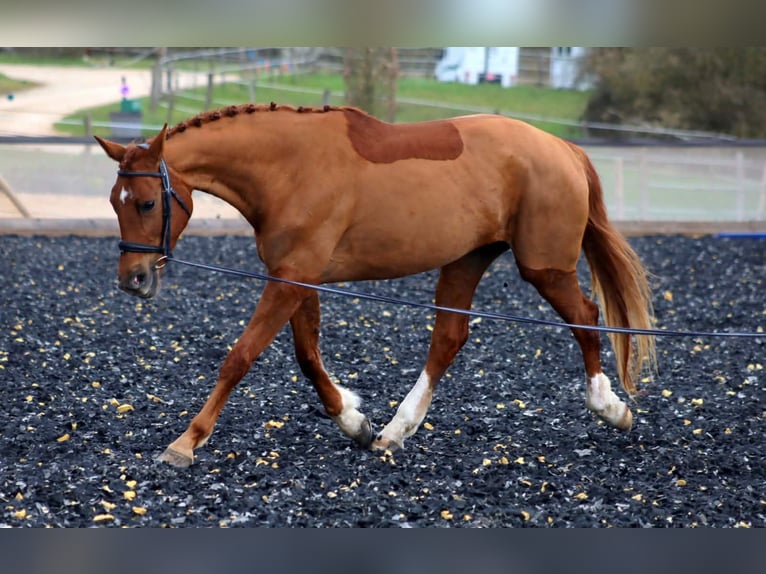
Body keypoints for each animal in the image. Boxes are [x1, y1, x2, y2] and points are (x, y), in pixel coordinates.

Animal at [95, 103, 656, 468]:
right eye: (113, 202)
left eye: (147, 202)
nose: (133, 280)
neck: (289, 167)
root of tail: (563, 148)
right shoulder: (299, 277)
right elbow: (307, 357)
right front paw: (354, 421)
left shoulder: (290, 278)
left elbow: (241, 357)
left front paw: (186, 443)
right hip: (466, 260)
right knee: (449, 339)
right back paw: (394, 431)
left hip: (544, 267)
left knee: (585, 317)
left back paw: (610, 408)